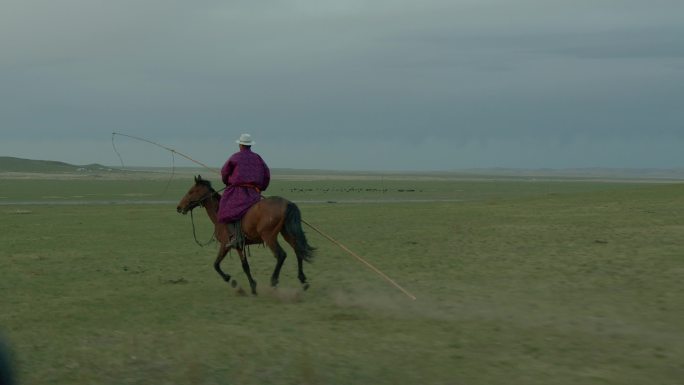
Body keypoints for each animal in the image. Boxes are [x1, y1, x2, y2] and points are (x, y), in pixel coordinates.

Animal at [176, 175, 316, 294]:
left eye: (191, 191)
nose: (179, 207)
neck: (219, 214)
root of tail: (287, 203)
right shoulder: (237, 245)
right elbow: (227, 265)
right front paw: (247, 285)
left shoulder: (229, 244)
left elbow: (228, 265)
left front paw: (239, 283)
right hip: (286, 233)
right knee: (298, 250)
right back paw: (303, 281)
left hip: (269, 236)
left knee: (281, 255)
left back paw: (274, 281)